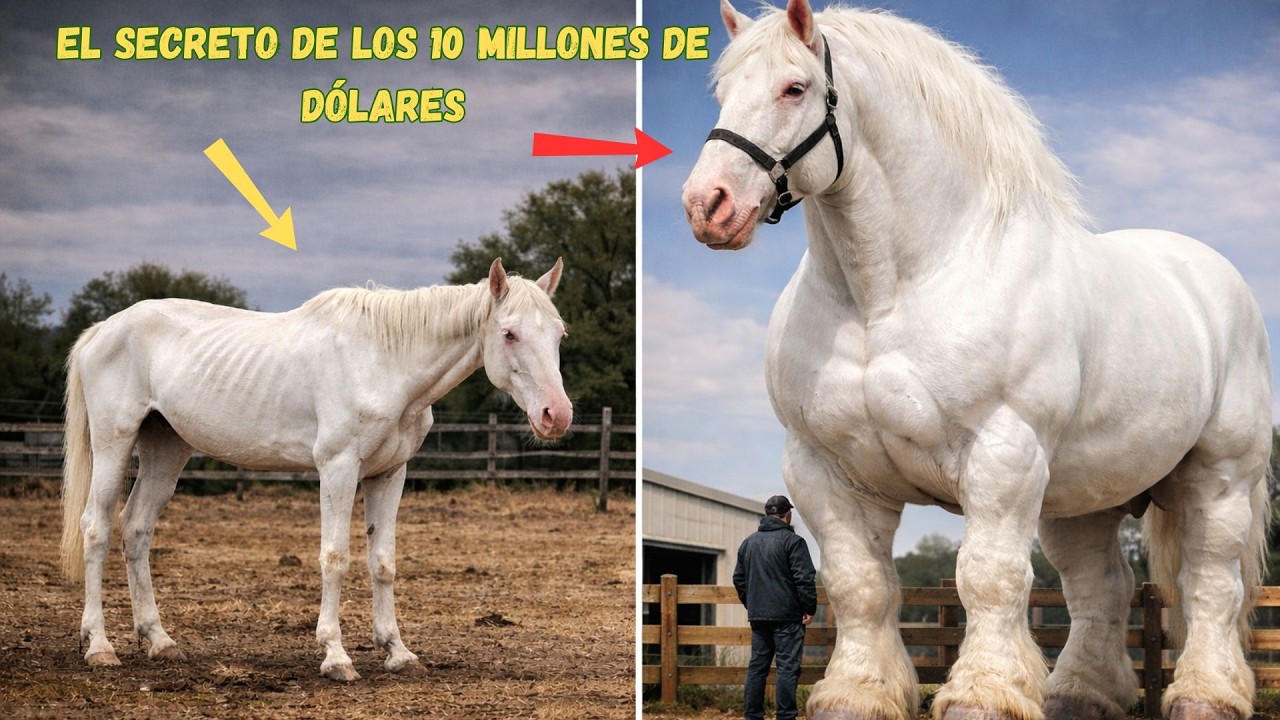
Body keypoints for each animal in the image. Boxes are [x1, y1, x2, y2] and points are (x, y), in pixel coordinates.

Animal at [60, 258, 573, 682]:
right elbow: (335, 557)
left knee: (137, 528)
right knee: (96, 529)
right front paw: (336, 656)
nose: (557, 415)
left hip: (166, 449)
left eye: (559, 334)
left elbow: (382, 561)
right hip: (114, 443)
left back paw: (160, 640)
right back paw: (100, 647)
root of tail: (102, 330)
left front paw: (397, 651)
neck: (384, 361)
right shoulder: (338, 467)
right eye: (509, 333)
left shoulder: (390, 474)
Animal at [682, 2, 1271, 719]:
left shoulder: (1002, 453)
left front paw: (983, 694)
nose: (707, 205)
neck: (890, 294)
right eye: (722, 93)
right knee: (1101, 588)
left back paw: (1207, 694)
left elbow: (988, 578)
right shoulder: (823, 467)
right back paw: (1078, 694)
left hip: (1219, 478)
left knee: (1210, 582)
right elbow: (858, 584)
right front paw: (857, 692)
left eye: (794, 88)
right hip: (1083, 501)